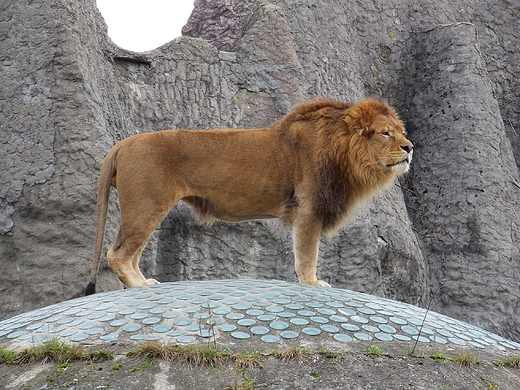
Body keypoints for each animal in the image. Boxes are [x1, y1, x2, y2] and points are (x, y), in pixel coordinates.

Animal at [83, 99, 412, 294]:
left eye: (400, 132)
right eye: (385, 133)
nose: (410, 147)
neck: (344, 153)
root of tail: (121, 145)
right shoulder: (308, 208)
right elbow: (308, 252)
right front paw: (312, 282)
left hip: (148, 209)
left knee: (131, 252)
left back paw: (145, 282)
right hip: (147, 206)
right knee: (117, 254)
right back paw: (138, 286)